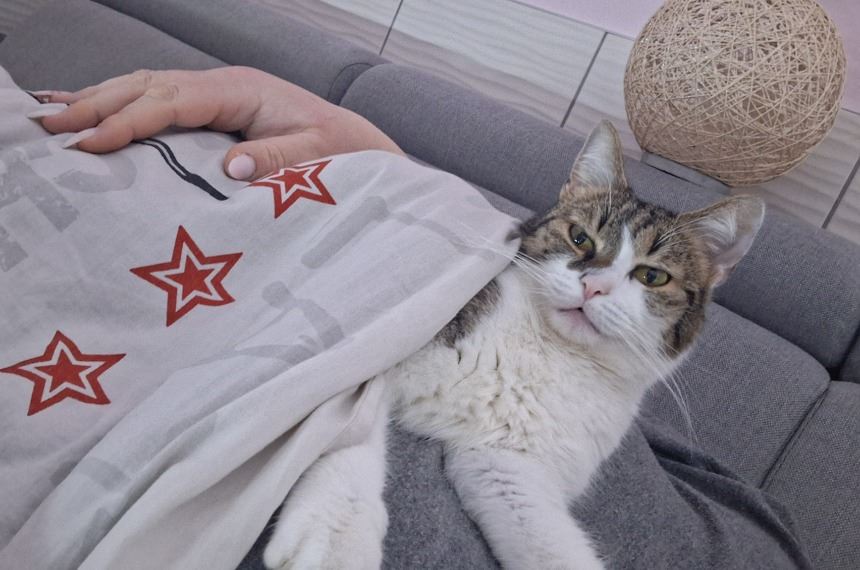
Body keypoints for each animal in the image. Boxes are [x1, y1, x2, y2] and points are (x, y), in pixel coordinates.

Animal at [262, 121, 765, 570]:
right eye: (579, 237)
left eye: (652, 276)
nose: (593, 287)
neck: (550, 352)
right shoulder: (404, 333)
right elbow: (347, 423)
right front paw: (336, 538)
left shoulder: (505, 464)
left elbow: (549, 543)